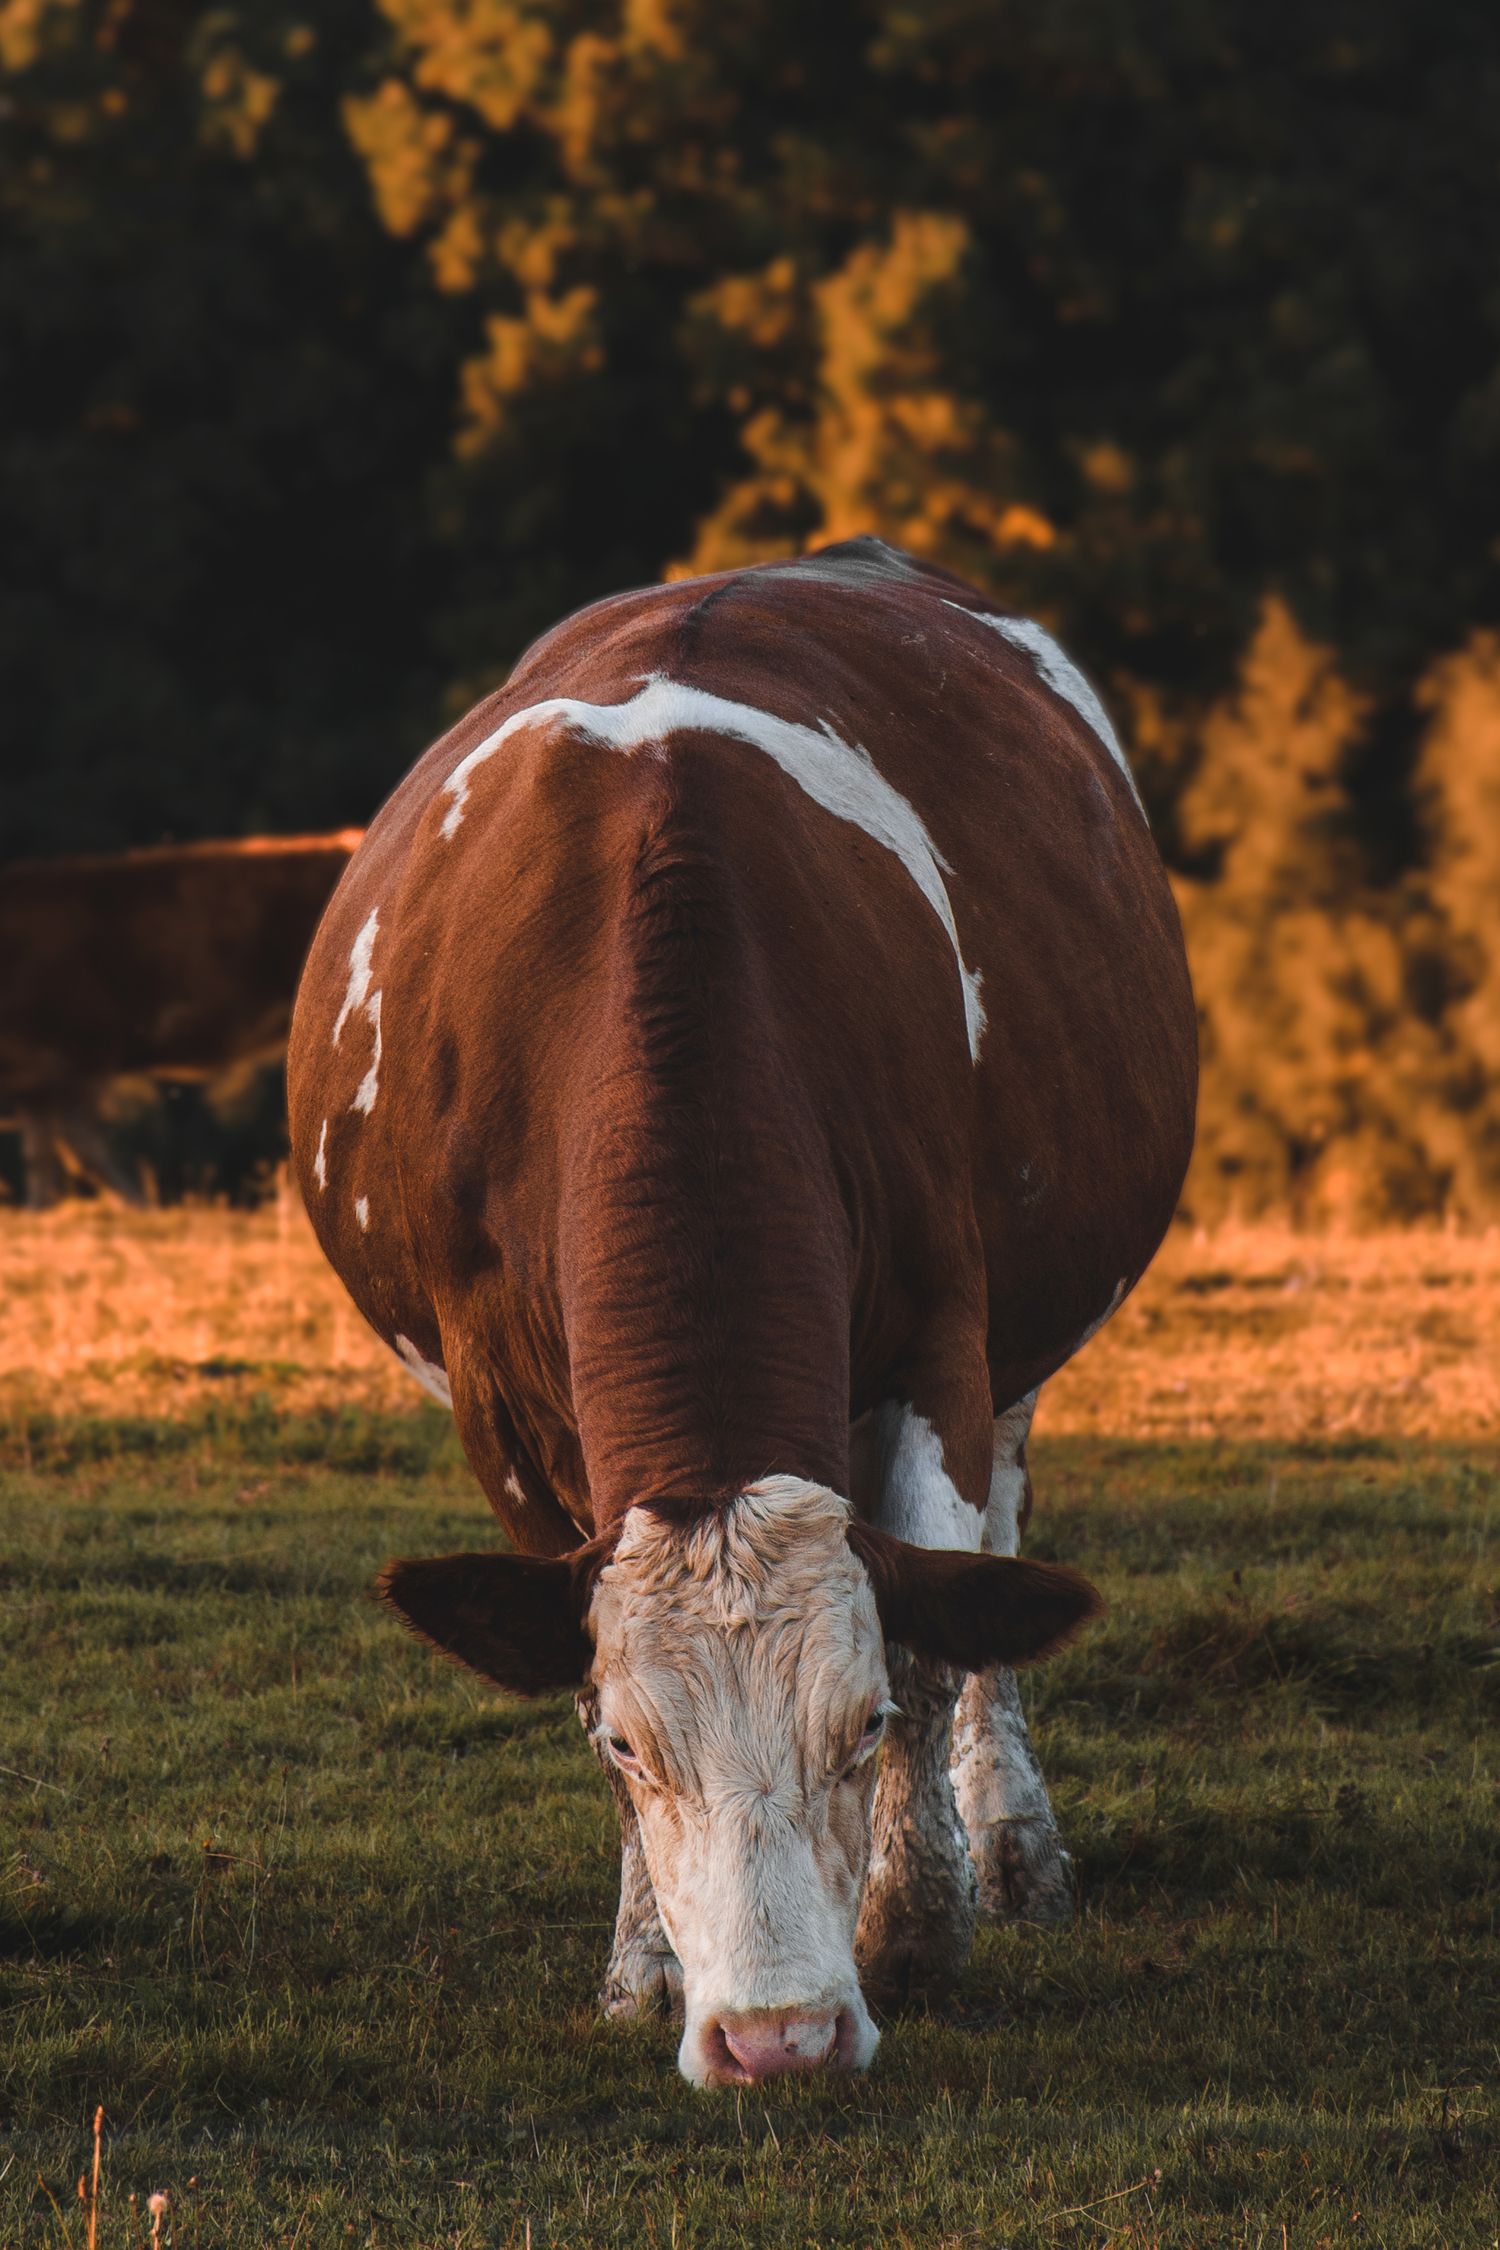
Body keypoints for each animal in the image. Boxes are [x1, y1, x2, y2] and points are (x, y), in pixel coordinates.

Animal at [287, 536, 1197, 2086]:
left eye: (857, 1725)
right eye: (628, 1748)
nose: (779, 2040)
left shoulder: (942, 1330)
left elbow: (939, 1626)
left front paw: (916, 1917)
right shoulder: (501, 1404)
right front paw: (646, 1966)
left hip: (1023, 1324)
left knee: (1000, 1554)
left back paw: (1012, 1840)